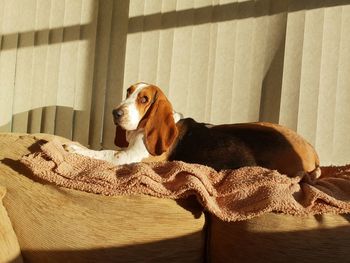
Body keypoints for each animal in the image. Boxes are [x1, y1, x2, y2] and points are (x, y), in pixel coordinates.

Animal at [65, 82, 320, 179]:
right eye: (128, 92)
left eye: (144, 99)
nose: (115, 113)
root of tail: (312, 150)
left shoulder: (128, 158)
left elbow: (104, 152)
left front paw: (74, 147)